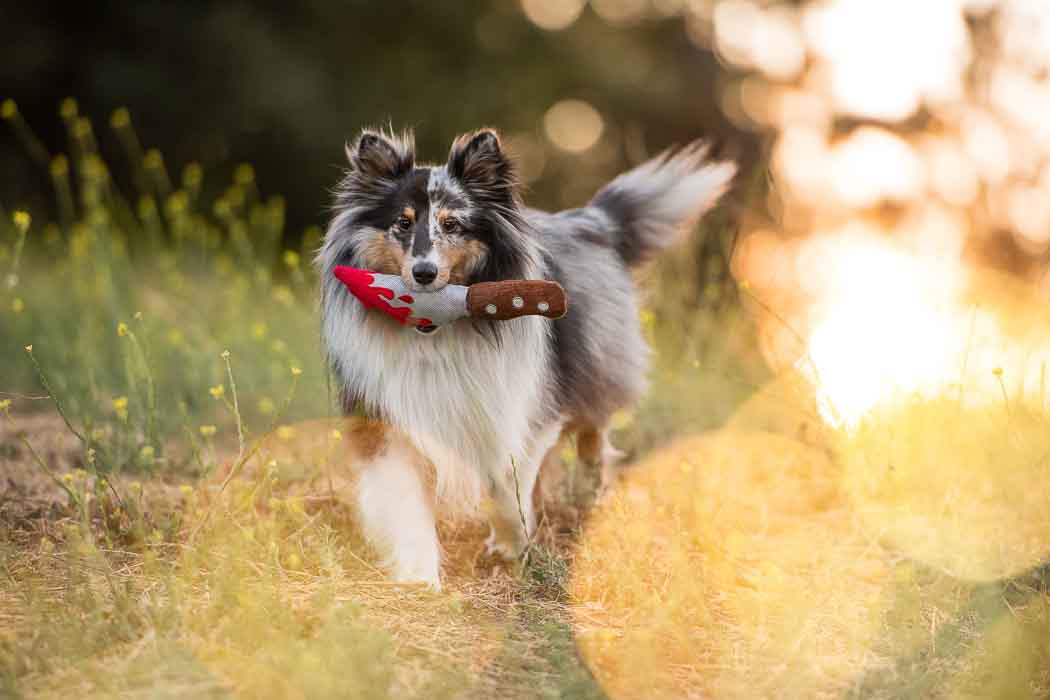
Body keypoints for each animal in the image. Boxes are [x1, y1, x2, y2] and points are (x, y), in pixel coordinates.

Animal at [315, 128, 734, 587]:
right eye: (403, 223)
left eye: (452, 224)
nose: (424, 274)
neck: (438, 336)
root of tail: (590, 221)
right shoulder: (387, 417)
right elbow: (406, 500)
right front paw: (419, 577)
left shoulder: (518, 405)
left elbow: (506, 482)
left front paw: (510, 546)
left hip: (595, 359)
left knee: (593, 429)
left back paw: (587, 491)